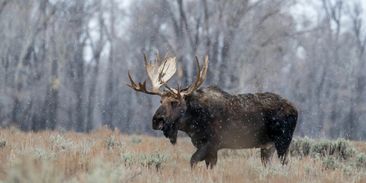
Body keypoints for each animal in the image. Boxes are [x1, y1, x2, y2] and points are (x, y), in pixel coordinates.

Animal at [127, 55, 298, 168]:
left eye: (174, 102)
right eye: (160, 101)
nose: (156, 120)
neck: (191, 125)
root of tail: (296, 110)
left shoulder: (212, 144)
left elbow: (192, 161)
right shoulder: (208, 148)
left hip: (283, 141)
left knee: (286, 164)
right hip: (268, 146)